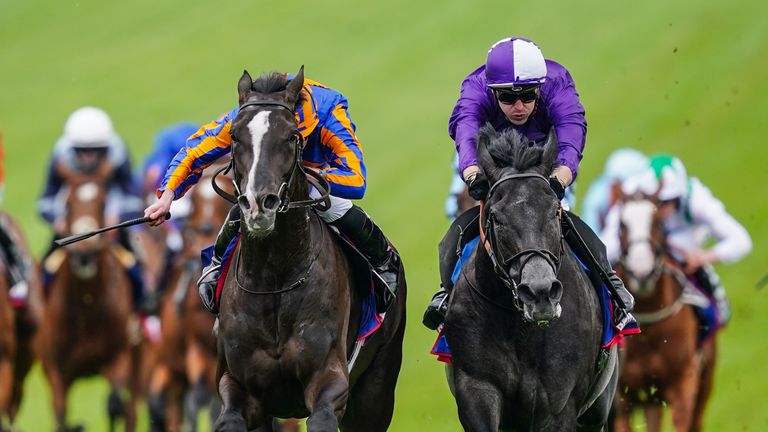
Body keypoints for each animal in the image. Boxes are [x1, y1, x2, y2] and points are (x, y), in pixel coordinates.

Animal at [214, 69, 408, 430]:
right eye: (234, 135)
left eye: (291, 136)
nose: (259, 204)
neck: (274, 282)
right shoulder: (239, 387)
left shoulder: (330, 380)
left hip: (376, 386)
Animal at [440, 124, 616, 428]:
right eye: (496, 217)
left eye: (555, 210)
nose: (540, 292)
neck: (521, 327)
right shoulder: (477, 388)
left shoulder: (558, 403)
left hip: (598, 408)